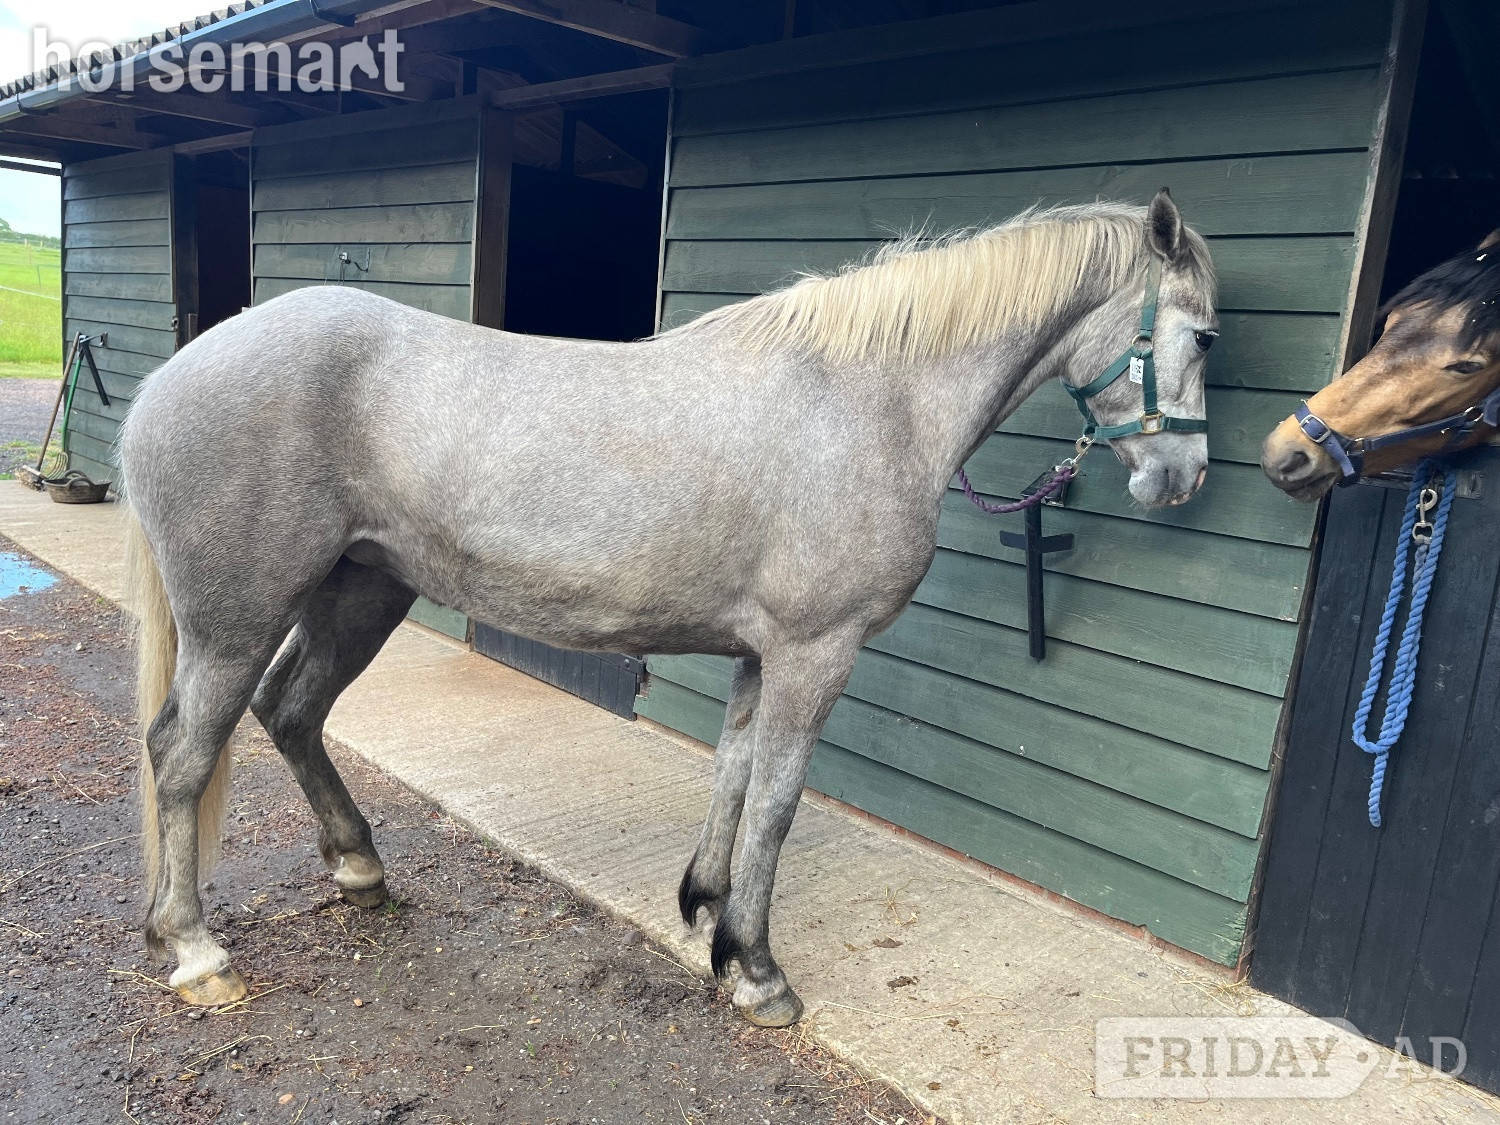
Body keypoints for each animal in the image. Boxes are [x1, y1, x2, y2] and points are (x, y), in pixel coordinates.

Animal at [119, 189, 1217, 1027]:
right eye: (1203, 334)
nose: (1182, 477)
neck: (869, 401)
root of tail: (168, 380)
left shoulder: (761, 652)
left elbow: (732, 776)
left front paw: (706, 913)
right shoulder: (818, 652)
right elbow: (777, 801)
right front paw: (760, 971)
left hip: (362, 589)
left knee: (292, 711)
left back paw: (358, 867)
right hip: (237, 619)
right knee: (185, 751)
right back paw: (196, 951)